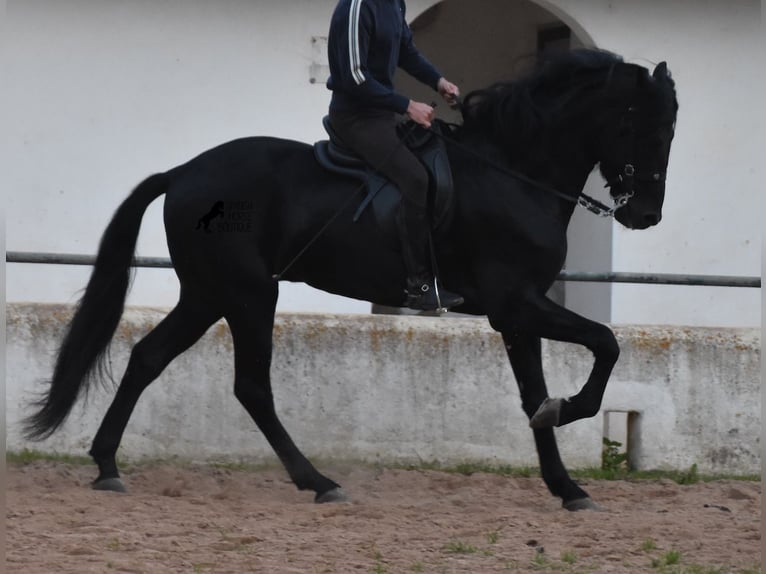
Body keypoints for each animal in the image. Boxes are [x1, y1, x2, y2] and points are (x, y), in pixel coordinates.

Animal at [27, 47, 680, 510]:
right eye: (644, 127)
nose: (645, 216)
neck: (512, 173)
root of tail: (184, 171)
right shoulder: (515, 302)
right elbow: (606, 343)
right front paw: (568, 414)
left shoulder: (517, 314)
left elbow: (533, 395)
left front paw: (566, 485)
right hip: (248, 292)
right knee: (250, 386)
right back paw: (317, 481)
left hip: (209, 293)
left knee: (148, 358)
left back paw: (107, 466)